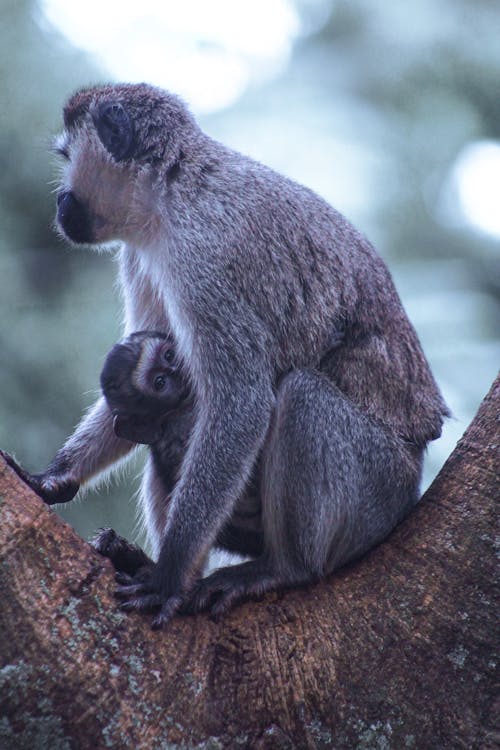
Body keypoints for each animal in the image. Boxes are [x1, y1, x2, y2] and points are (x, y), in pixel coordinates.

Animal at [12, 83, 450, 628]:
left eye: (66, 156)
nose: (59, 201)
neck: (174, 190)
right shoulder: (142, 254)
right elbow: (137, 378)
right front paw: (53, 479)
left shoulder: (201, 258)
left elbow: (240, 401)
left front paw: (168, 576)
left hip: (378, 492)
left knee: (302, 397)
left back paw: (282, 568)